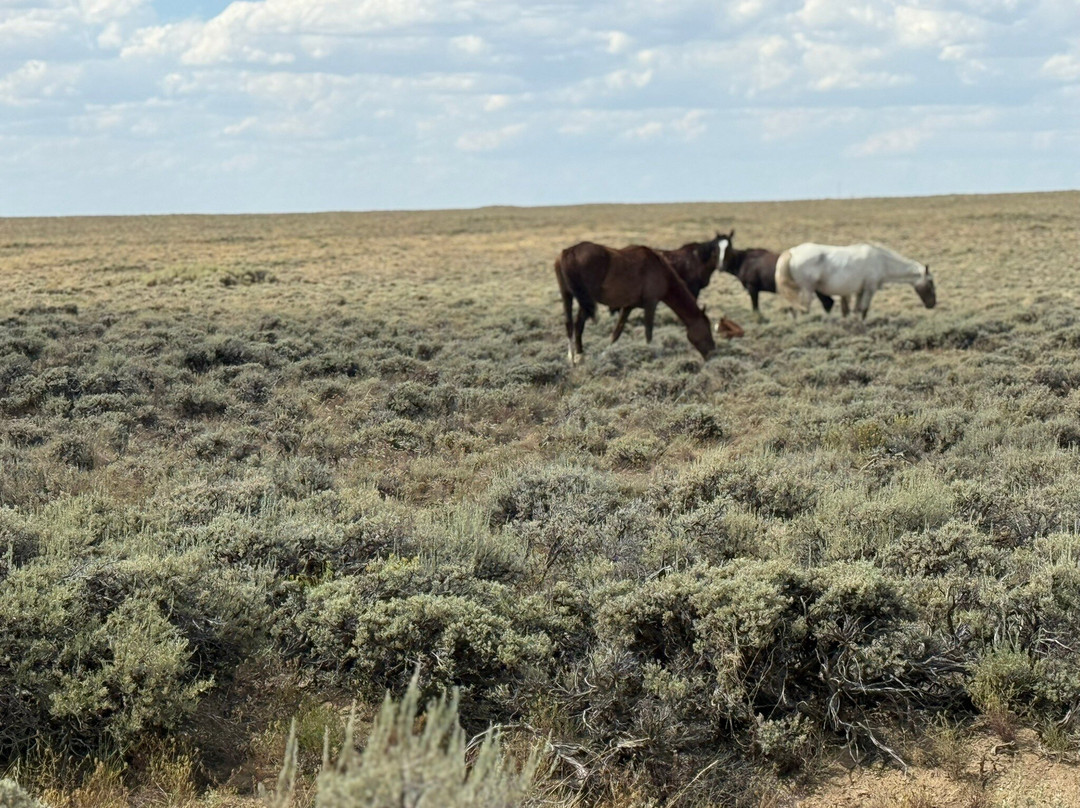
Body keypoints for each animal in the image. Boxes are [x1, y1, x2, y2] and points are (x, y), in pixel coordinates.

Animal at [555, 241, 716, 365]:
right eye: (707, 328)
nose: (712, 353)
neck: (661, 270)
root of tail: (569, 252)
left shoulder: (628, 307)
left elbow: (617, 332)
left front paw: (604, 354)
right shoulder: (651, 303)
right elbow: (648, 333)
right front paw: (653, 356)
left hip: (567, 296)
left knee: (569, 324)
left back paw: (572, 358)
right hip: (586, 300)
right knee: (578, 324)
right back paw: (579, 357)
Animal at [775, 242, 936, 320]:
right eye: (930, 283)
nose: (932, 304)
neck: (882, 261)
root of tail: (792, 252)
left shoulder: (860, 291)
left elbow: (856, 309)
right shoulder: (869, 289)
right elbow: (863, 309)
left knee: (795, 309)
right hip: (807, 290)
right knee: (803, 310)